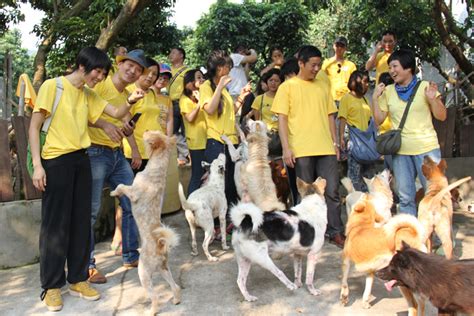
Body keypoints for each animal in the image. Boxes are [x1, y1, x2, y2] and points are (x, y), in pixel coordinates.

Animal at [110, 130, 181, 314]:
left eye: (154, 132)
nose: (145, 130)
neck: (157, 170)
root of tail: (161, 243)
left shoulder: (133, 193)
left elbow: (121, 185)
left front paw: (113, 192)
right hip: (164, 269)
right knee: (175, 286)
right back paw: (176, 300)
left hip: (144, 273)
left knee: (155, 297)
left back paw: (151, 311)